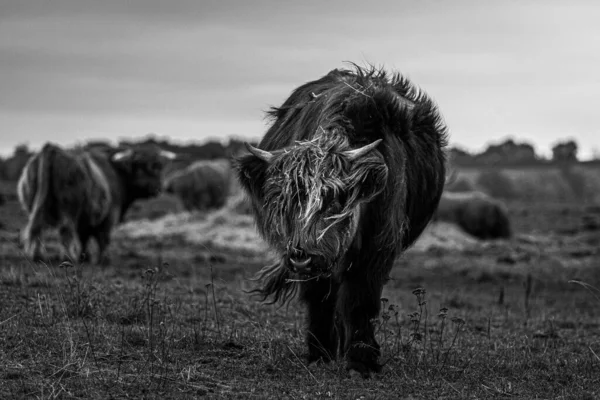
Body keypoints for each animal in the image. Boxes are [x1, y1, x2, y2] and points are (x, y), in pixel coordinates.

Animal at [17, 142, 176, 264]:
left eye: (159, 166)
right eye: (142, 166)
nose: (157, 187)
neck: (118, 174)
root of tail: (53, 149)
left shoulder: (85, 219)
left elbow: (84, 237)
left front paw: (85, 257)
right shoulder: (109, 215)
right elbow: (103, 238)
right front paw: (103, 259)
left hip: (35, 206)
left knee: (36, 228)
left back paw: (37, 256)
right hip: (69, 208)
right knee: (65, 229)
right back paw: (68, 257)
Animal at [237, 64, 448, 376]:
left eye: (336, 197)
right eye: (285, 200)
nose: (302, 257)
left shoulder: (378, 247)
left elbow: (361, 301)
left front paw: (362, 360)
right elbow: (319, 299)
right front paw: (320, 352)